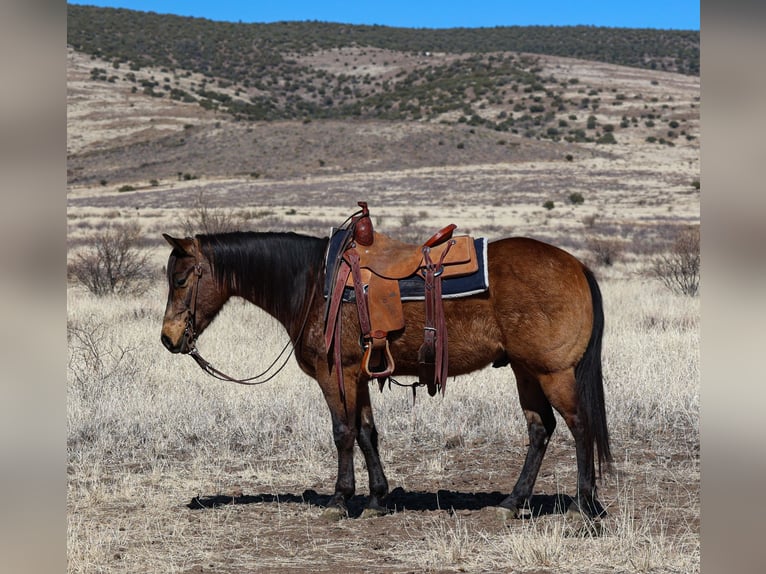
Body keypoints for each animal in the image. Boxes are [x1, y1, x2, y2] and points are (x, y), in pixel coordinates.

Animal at [160, 210, 612, 520]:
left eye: (180, 280)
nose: (168, 338)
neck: (313, 284)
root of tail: (578, 265)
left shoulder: (335, 374)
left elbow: (342, 433)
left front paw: (339, 499)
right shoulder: (359, 375)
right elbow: (367, 433)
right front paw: (377, 498)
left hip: (553, 373)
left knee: (579, 426)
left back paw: (584, 506)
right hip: (525, 370)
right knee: (540, 429)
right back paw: (512, 502)